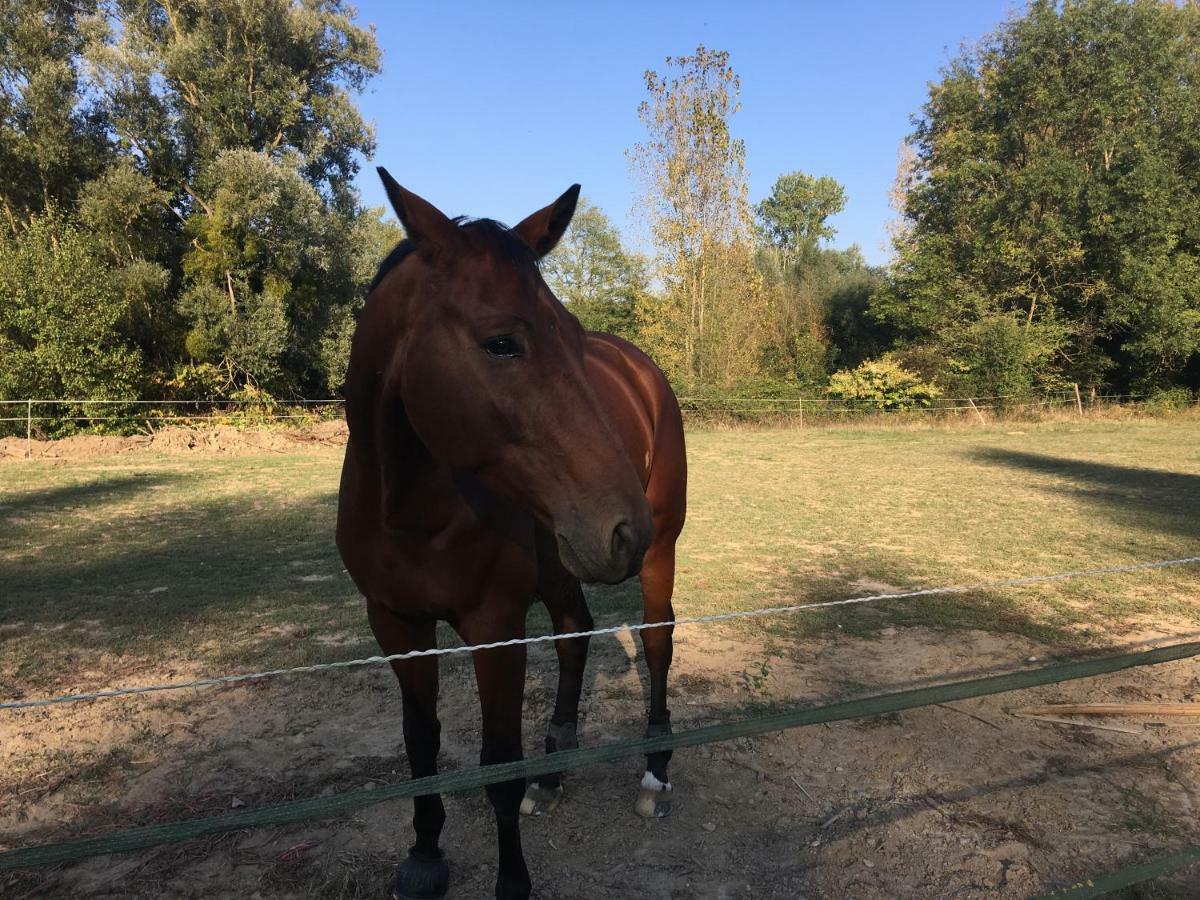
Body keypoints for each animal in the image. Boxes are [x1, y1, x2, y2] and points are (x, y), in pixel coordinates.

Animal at [338, 170, 691, 900]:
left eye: (573, 335)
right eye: (501, 342)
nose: (625, 526)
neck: (411, 511)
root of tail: (645, 371)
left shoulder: (495, 628)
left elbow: (499, 762)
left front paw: (512, 880)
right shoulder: (395, 623)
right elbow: (420, 742)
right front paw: (424, 855)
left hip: (658, 553)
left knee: (657, 639)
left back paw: (654, 770)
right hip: (562, 563)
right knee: (575, 633)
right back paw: (553, 775)